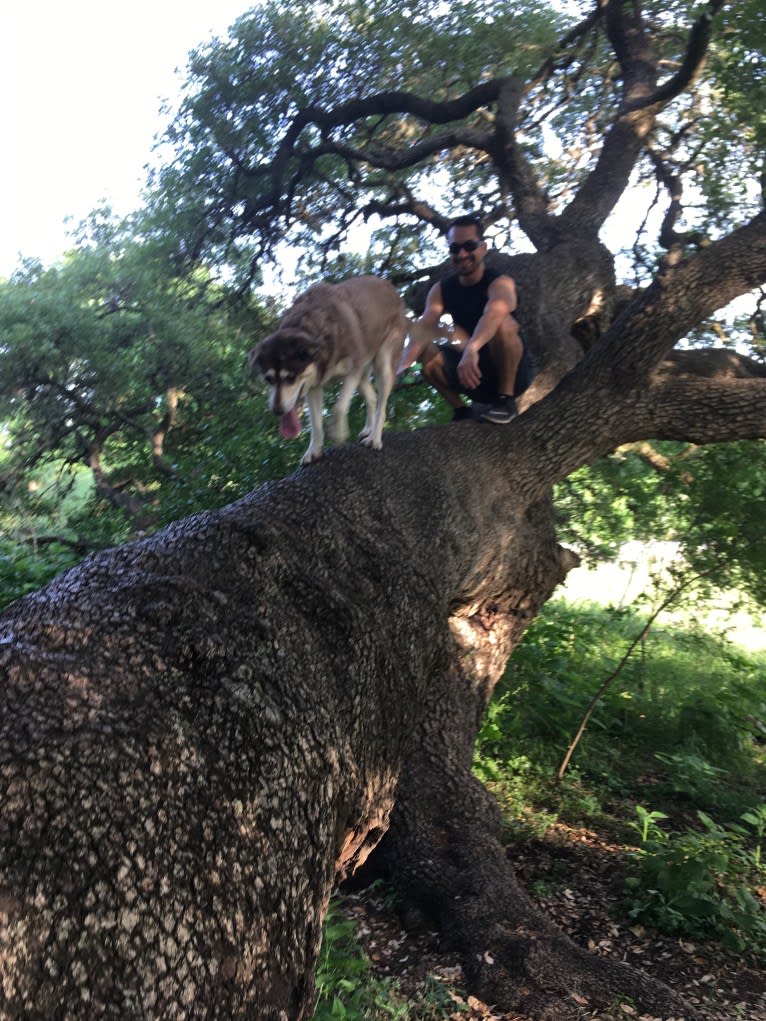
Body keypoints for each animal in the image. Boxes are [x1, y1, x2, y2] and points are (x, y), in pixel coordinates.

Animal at [250, 271, 408, 463]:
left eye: (291, 377)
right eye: (268, 379)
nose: (277, 410)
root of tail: (390, 287)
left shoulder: (352, 371)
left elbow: (338, 408)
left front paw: (339, 433)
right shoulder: (313, 387)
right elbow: (316, 423)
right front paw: (313, 450)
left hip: (383, 361)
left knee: (382, 403)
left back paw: (374, 438)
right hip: (363, 372)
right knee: (372, 397)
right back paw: (368, 429)